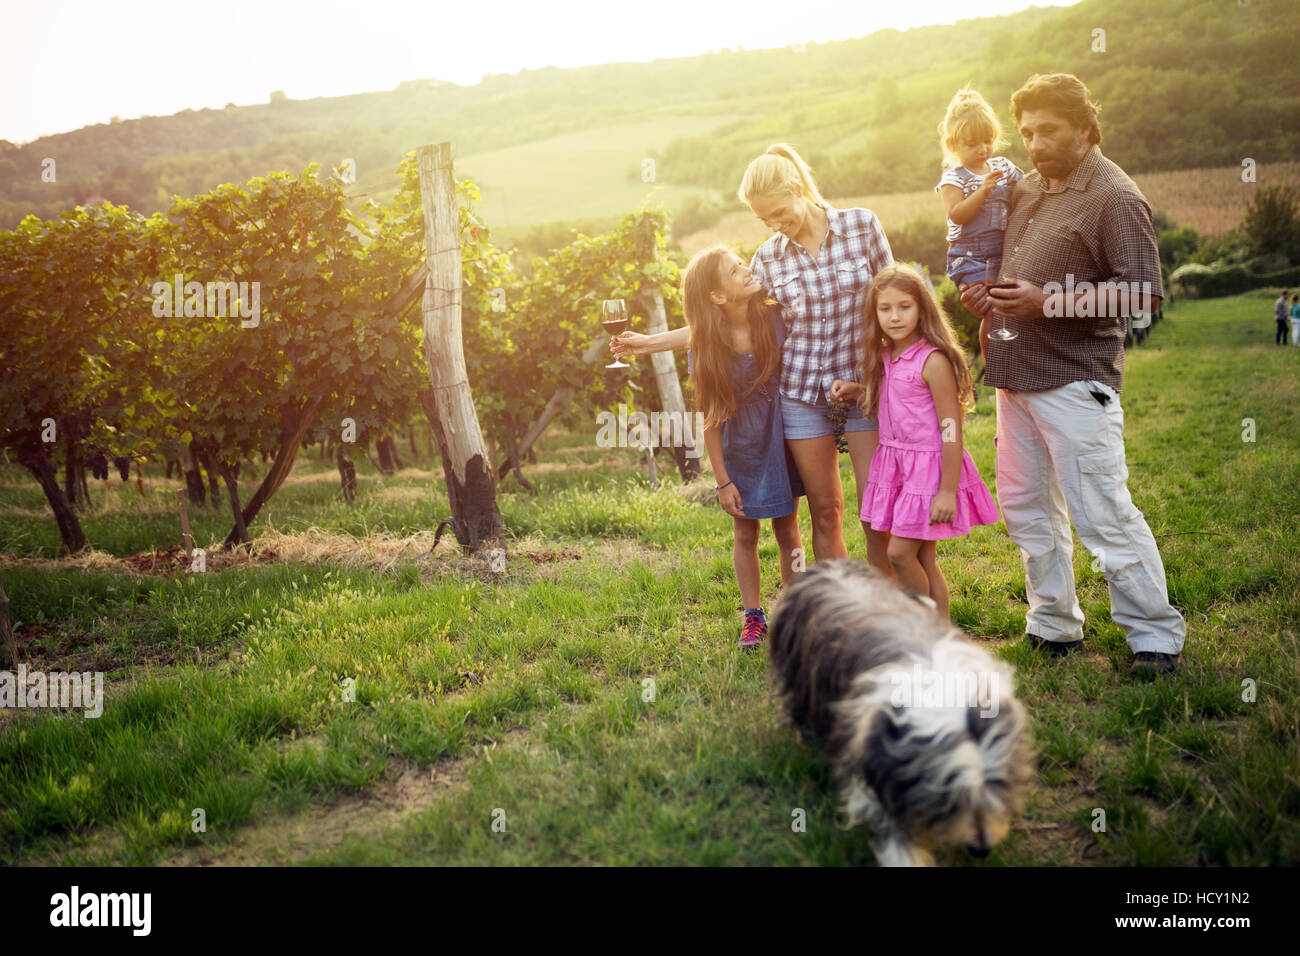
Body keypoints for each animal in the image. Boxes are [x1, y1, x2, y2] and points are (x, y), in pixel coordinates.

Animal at [764, 561, 1029, 868]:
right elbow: (893, 828)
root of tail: (826, 565)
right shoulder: (877, 761)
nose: (981, 848)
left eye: (996, 787)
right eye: (949, 801)